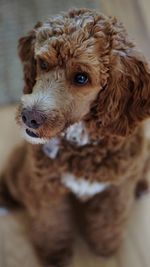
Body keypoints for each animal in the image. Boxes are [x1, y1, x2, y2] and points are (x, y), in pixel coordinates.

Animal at [0, 8, 150, 267]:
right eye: (42, 63)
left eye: (81, 78)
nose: (30, 117)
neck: (82, 143)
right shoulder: (45, 185)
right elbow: (51, 222)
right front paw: (55, 254)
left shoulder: (117, 190)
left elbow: (109, 220)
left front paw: (104, 247)